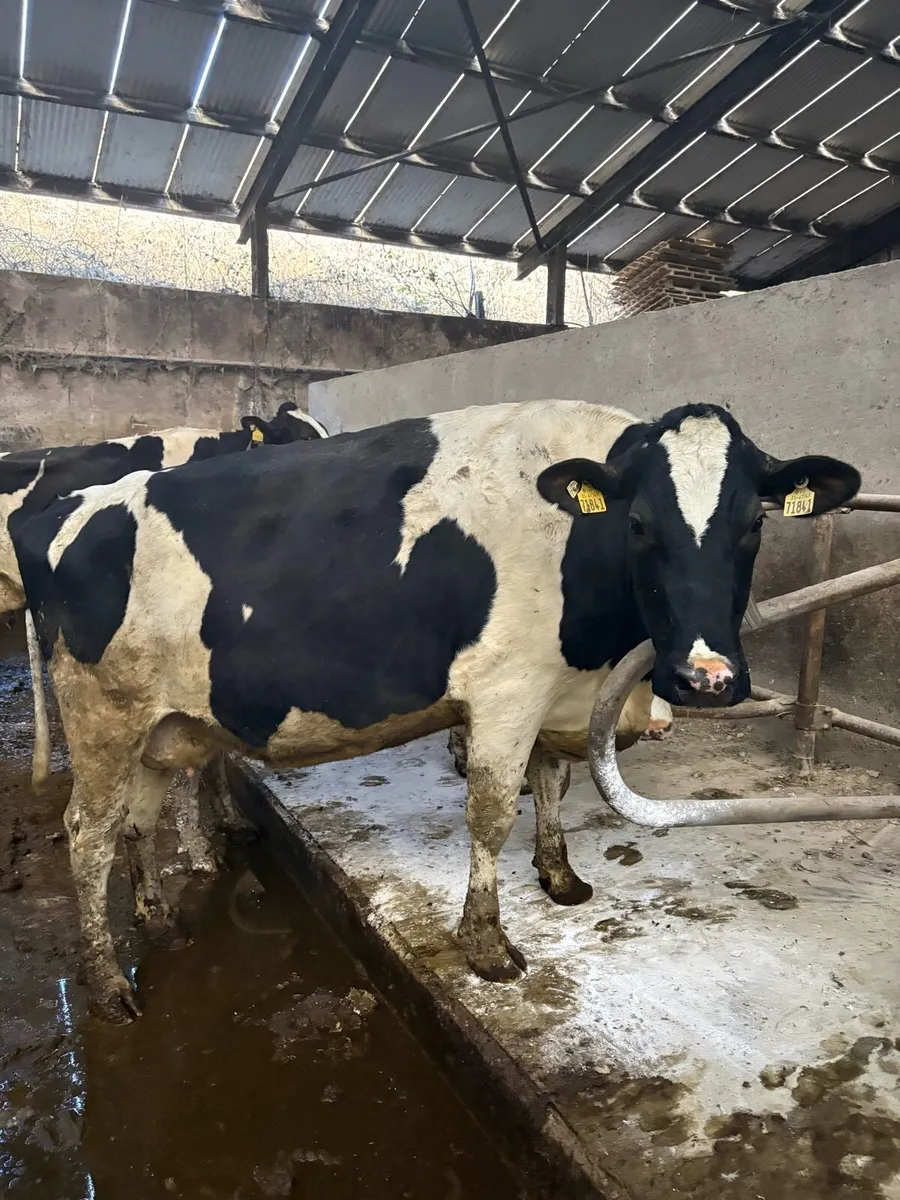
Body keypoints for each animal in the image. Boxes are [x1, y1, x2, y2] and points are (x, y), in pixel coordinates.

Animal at [12, 399, 859, 1021]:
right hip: (101, 715)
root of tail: (61, 507)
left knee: (136, 819)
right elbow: (491, 814)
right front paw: (486, 945)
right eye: (641, 524)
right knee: (86, 835)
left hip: (160, 725)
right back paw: (107, 983)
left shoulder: (553, 690)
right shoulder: (507, 692)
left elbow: (552, 784)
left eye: (755, 523)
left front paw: (560, 875)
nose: (706, 676)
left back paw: (159, 921)